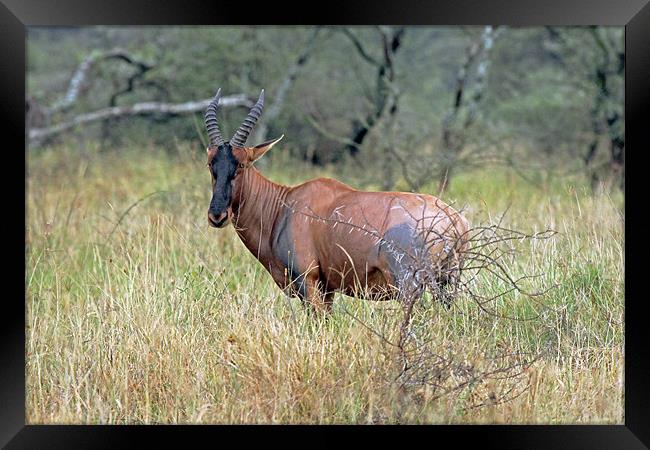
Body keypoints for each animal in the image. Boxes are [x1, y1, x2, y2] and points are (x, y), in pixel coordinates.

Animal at [205, 88, 468, 312]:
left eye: (241, 164)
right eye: (210, 164)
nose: (217, 215)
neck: (284, 205)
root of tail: (454, 220)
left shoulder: (308, 281)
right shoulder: (327, 288)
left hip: (409, 285)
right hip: (447, 284)